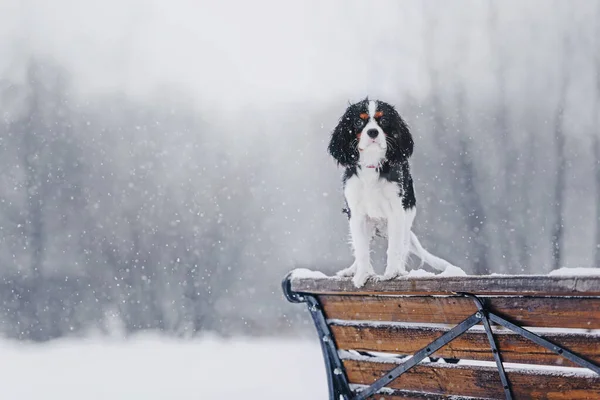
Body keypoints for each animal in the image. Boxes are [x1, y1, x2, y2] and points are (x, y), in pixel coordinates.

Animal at [328, 99, 454, 288]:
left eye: (384, 120)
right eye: (358, 121)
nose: (373, 131)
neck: (372, 164)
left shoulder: (396, 212)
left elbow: (394, 247)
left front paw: (392, 274)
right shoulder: (356, 214)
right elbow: (361, 249)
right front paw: (362, 275)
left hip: (406, 219)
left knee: (402, 245)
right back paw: (351, 270)